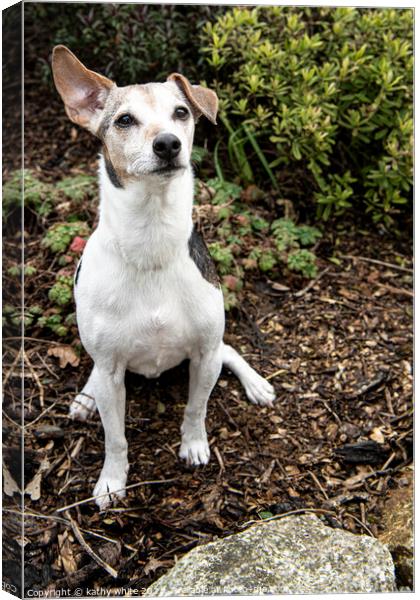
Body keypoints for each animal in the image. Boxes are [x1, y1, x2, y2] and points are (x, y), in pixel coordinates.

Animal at [51, 44, 276, 508]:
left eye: (181, 113)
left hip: (212, 347)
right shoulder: (112, 371)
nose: (168, 143)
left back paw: (256, 384)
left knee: (230, 351)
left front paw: (194, 444)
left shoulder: (205, 354)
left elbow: (196, 407)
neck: (151, 245)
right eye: (124, 120)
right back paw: (85, 397)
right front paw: (112, 480)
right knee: (96, 375)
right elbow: (115, 436)